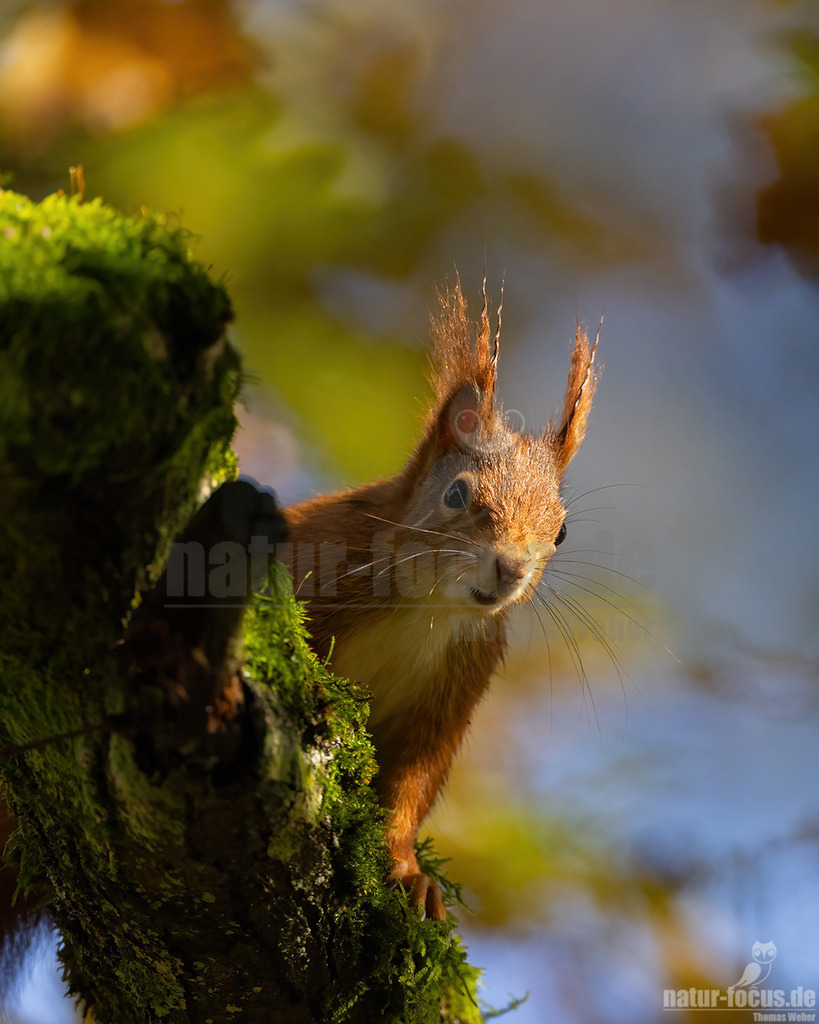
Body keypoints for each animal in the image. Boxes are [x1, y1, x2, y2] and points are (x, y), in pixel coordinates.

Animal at [280, 279, 599, 920]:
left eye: (561, 533)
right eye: (455, 494)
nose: (511, 568)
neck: (429, 605)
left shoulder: (460, 678)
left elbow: (412, 781)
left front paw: (408, 870)